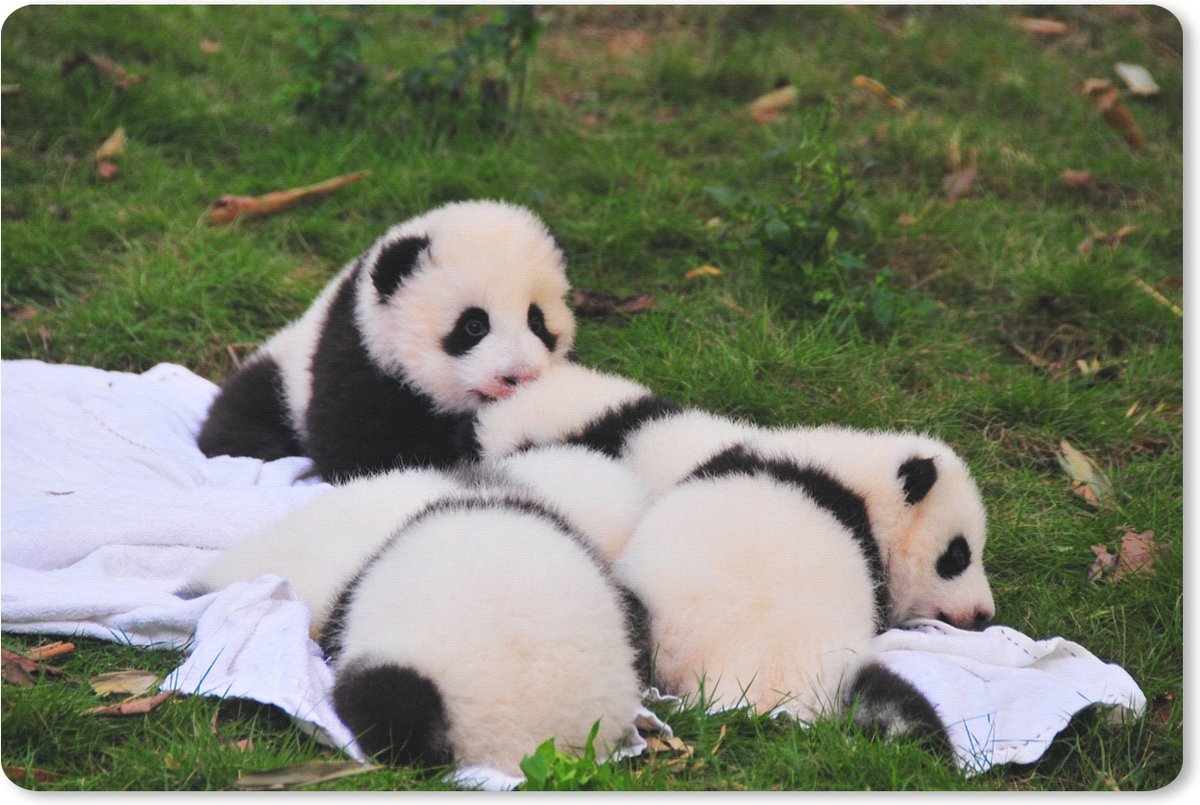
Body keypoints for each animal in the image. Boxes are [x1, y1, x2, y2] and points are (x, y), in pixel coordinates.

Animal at [197, 200, 577, 482]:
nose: (519, 376)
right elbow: (363, 453)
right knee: (244, 419)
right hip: (283, 379)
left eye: (536, 321)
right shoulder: (356, 357)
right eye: (473, 326)